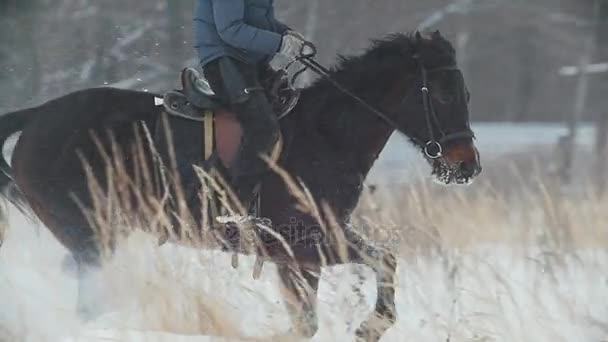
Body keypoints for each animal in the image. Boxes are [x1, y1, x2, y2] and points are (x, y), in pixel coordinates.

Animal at [0, 30, 480, 340]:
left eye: (466, 94)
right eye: (441, 94)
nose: (466, 166)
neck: (326, 134)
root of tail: (37, 117)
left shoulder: (305, 250)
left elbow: (316, 313)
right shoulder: (305, 243)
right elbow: (382, 262)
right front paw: (371, 324)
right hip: (91, 234)